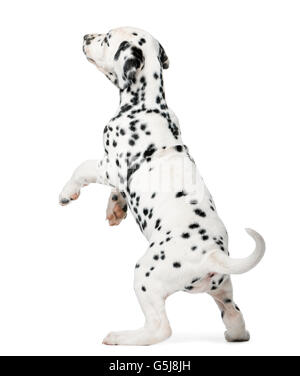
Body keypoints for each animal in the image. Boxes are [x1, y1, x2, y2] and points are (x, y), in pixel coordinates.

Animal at [58, 26, 264, 346]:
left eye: (106, 38)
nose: (85, 36)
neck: (147, 105)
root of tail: (212, 255)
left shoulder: (110, 165)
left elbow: (83, 167)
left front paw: (68, 192)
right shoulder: (119, 176)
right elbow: (118, 191)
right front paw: (115, 209)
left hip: (146, 275)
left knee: (160, 328)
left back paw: (122, 337)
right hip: (223, 291)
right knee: (235, 316)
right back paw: (235, 334)